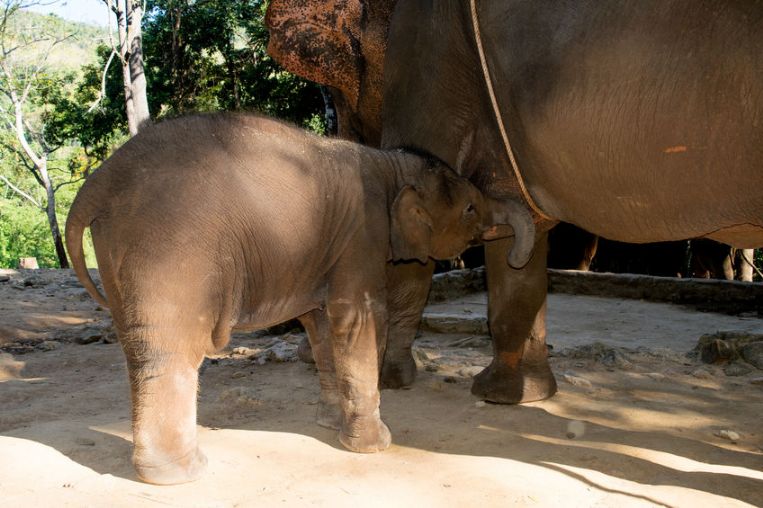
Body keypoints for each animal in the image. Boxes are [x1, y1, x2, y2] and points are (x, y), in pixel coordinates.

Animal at [65, 113, 498, 486]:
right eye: (470, 208)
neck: (391, 162)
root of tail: (96, 184)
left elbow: (321, 325)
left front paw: (330, 425)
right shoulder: (361, 236)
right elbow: (357, 319)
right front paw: (374, 447)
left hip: (121, 253)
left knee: (140, 351)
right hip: (169, 248)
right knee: (172, 350)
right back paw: (182, 475)